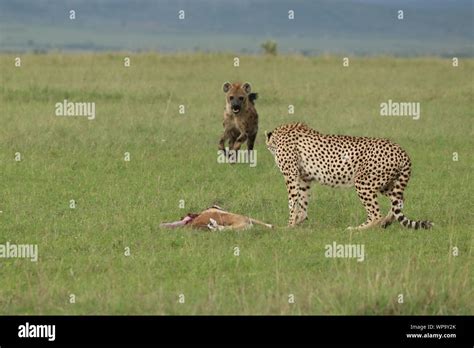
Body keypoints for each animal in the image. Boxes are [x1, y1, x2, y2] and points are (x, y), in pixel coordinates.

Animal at [266, 123, 434, 231]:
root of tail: (401, 150)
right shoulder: (304, 178)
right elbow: (302, 200)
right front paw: (299, 220)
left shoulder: (291, 175)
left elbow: (292, 201)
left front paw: (288, 226)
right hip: (386, 183)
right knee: (399, 200)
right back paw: (387, 221)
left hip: (363, 182)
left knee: (376, 214)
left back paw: (357, 229)